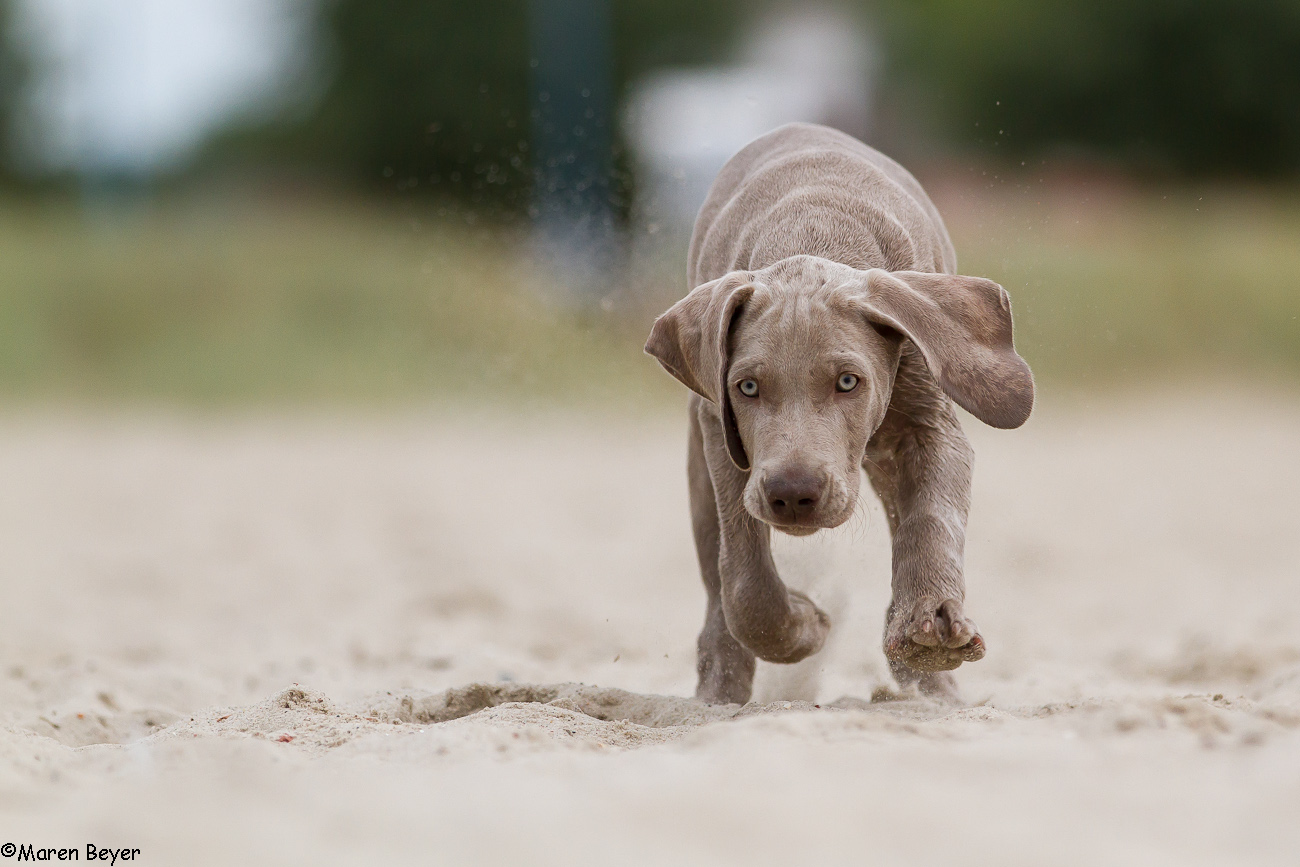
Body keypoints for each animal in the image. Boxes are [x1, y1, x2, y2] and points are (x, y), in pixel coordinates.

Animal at [644, 122, 1029, 707]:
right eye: (747, 386)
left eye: (849, 381)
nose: (793, 494)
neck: (813, 234)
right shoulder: (724, 440)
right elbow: (744, 579)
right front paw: (803, 627)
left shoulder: (930, 423)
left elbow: (931, 521)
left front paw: (931, 624)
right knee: (717, 576)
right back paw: (720, 684)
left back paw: (931, 687)